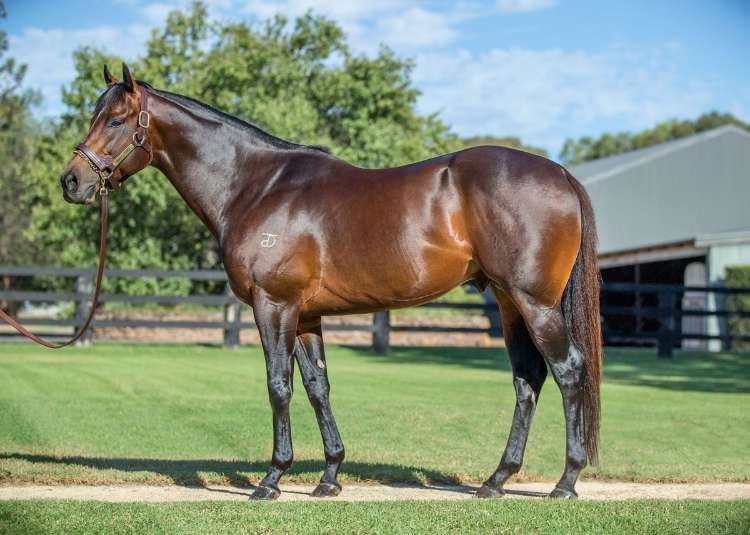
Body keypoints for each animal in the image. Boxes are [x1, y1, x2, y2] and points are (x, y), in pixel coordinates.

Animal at [60, 63, 602, 501]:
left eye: (115, 120)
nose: (71, 182)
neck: (256, 186)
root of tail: (560, 174)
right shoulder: (306, 316)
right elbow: (318, 386)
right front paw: (329, 477)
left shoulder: (273, 306)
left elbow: (279, 386)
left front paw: (271, 480)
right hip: (510, 303)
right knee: (527, 378)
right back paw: (496, 480)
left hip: (536, 303)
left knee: (568, 371)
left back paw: (565, 482)